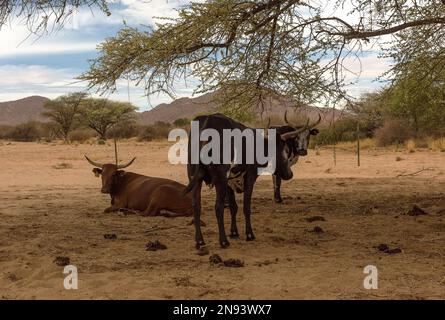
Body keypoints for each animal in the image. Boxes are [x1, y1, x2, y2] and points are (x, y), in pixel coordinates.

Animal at [183, 114, 308, 249]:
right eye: (285, 150)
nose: (290, 174)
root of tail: (208, 121)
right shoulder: (249, 178)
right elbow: (246, 208)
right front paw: (249, 234)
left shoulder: (230, 183)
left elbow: (233, 207)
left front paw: (234, 232)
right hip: (220, 178)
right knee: (218, 207)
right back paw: (223, 241)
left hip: (194, 178)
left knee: (196, 206)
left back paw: (200, 241)